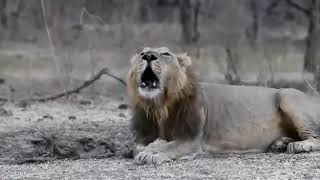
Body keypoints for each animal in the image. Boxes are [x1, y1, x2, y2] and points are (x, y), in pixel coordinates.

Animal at [125, 46, 320, 165]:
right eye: (142, 53)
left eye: (166, 54)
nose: (148, 56)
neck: (161, 106)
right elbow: (140, 146)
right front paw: (151, 147)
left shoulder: (191, 141)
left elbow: (169, 146)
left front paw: (151, 153)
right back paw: (280, 143)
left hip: (288, 95)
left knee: (315, 136)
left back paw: (299, 145)